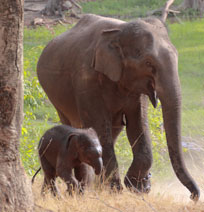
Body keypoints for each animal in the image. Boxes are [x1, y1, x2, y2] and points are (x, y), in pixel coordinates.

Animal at [36, 14, 199, 200]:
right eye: (148, 63)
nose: (192, 197)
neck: (120, 31)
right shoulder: (86, 80)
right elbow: (100, 126)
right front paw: (117, 190)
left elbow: (138, 125)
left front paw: (137, 188)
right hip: (57, 97)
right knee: (76, 125)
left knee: (113, 131)